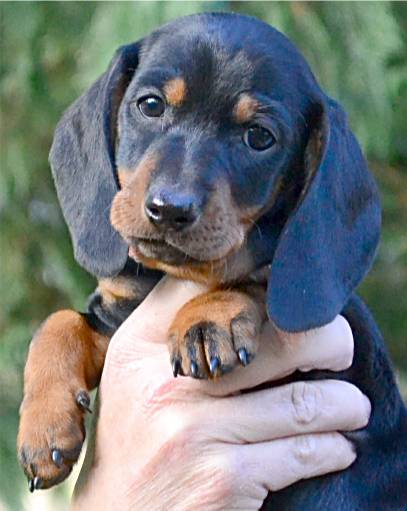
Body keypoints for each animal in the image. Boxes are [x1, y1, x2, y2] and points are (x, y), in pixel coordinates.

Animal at [17, 13, 406, 511]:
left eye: (259, 137)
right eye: (150, 105)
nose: (169, 209)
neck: (171, 275)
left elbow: (257, 272)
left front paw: (208, 319)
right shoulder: (116, 316)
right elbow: (58, 323)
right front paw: (44, 427)